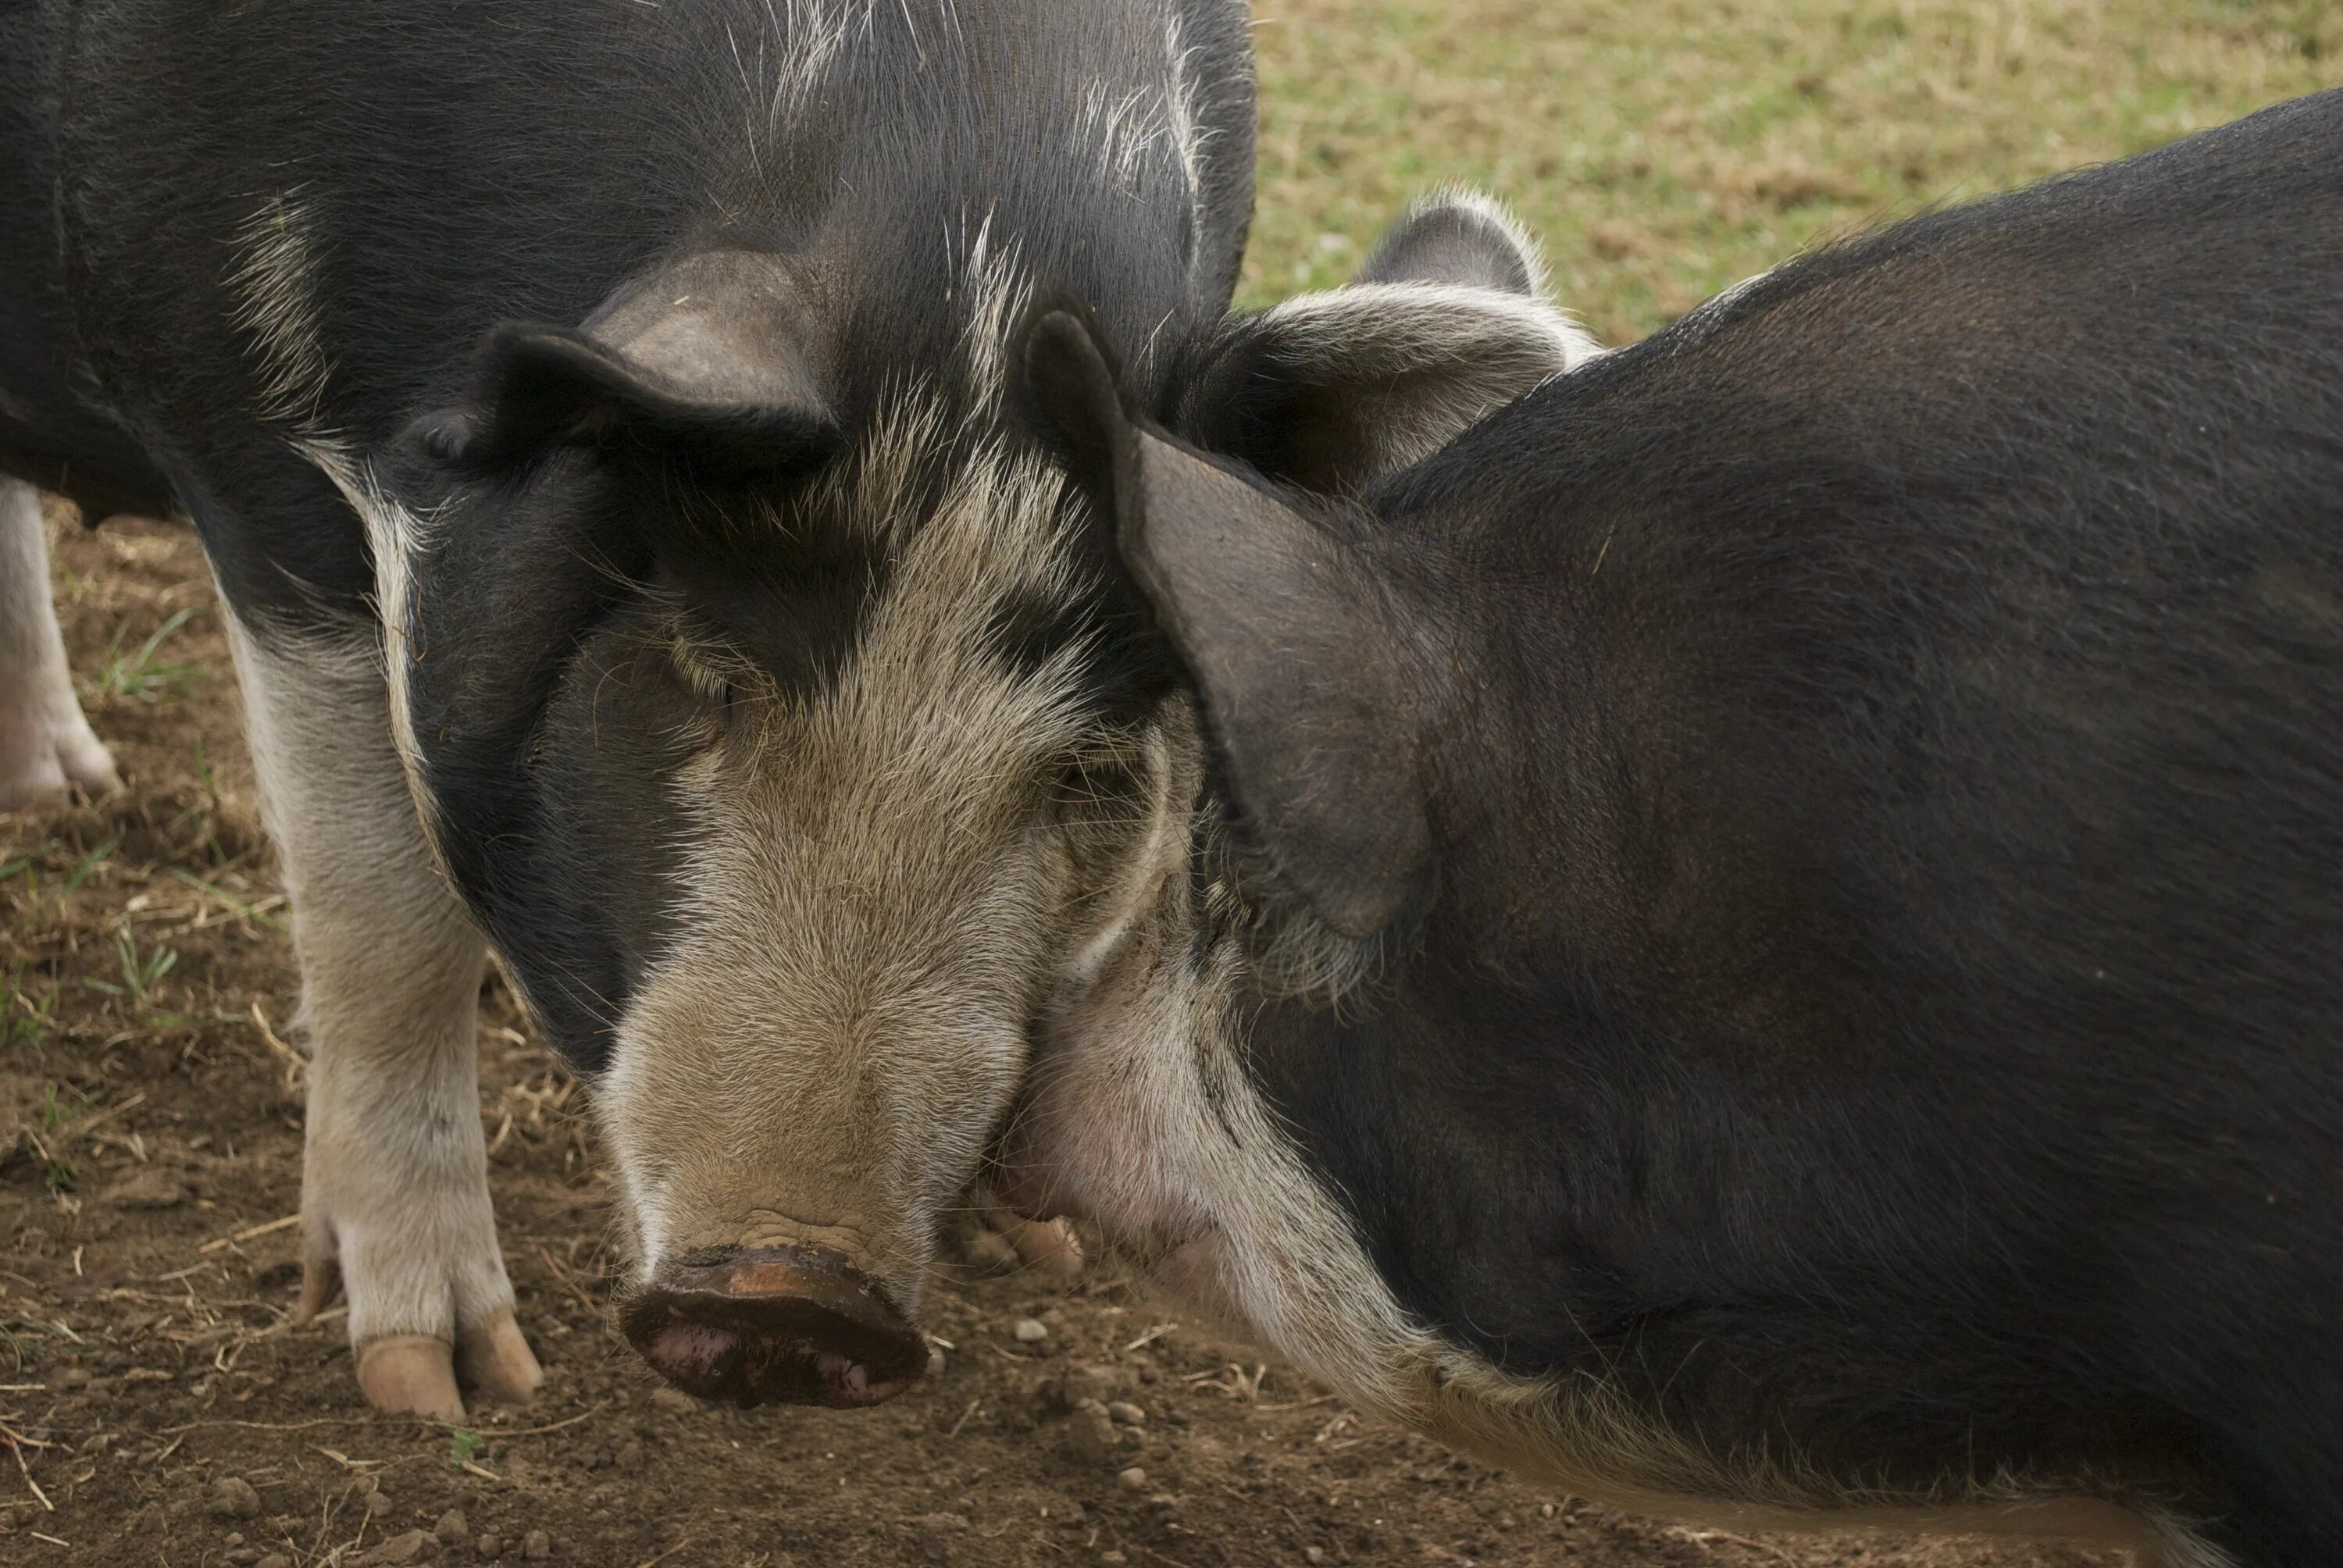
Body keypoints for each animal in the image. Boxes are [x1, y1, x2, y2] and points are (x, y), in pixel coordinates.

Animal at [0, 0, 1593, 1415]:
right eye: (707, 671)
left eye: (1085, 765)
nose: (795, 1297)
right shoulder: (258, 461)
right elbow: (384, 920)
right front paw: (448, 1384)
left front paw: (1036, 1246)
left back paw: (66, 787)